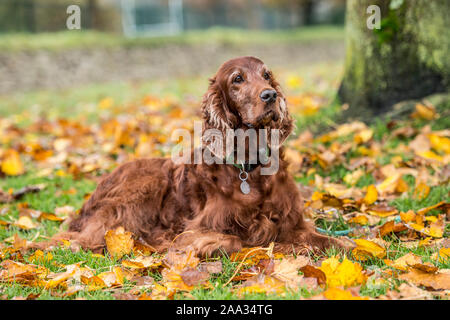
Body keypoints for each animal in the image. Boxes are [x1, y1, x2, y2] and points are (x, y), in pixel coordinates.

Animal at [49, 57, 344, 258]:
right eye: (237, 79)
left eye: (267, 75)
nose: (270, 95)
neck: (249, 169)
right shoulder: (197, 228)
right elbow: (234, 240)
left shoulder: (290, 219)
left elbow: (327, 240)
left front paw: (347, 245)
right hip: (144, 186)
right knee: (84, 237)